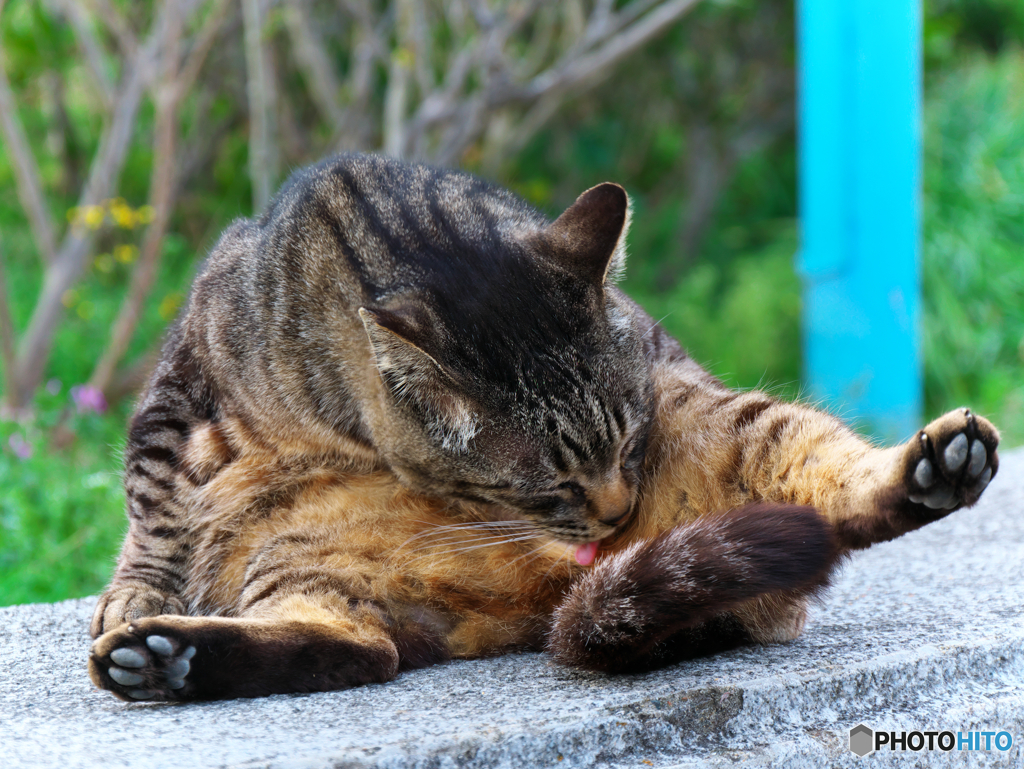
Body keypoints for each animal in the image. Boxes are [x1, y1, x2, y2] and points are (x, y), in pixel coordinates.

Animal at [88, 151, 999, 704]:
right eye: (549, 483)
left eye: (631, 442)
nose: (616, 515)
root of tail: (549, 597)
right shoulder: (183, 384)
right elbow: (153, 503)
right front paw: (136, 589)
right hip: (299, 556)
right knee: (359, 647)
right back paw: (164, 653)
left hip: (742, 423)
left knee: (840, 493)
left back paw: (939, 468)